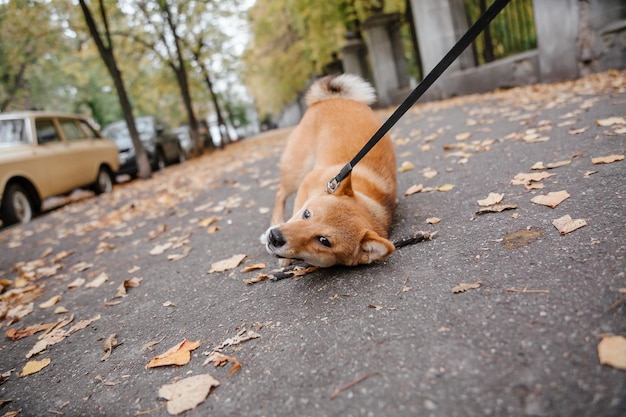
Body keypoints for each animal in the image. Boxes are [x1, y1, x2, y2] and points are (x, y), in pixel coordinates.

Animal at [258, 74, 394, 266]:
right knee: (280, 193)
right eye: (307, 214)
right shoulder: (307, 183)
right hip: (297, 170)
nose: (275, 237)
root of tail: (335, 98)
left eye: (323, 241)